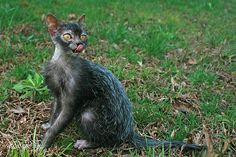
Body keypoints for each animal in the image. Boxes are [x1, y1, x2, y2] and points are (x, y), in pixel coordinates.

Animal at [41, 13, 206, 151]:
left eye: (83, 36)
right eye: (67, 36)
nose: (79, 44)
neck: (63, 64)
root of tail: (129, 131)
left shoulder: (73, 97)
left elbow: (58, 124)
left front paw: (43, 145)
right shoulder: (57, 95)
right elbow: (54, 113)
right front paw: (48, 124)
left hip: (89, 115)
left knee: (107, 140)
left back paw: (85, 143)